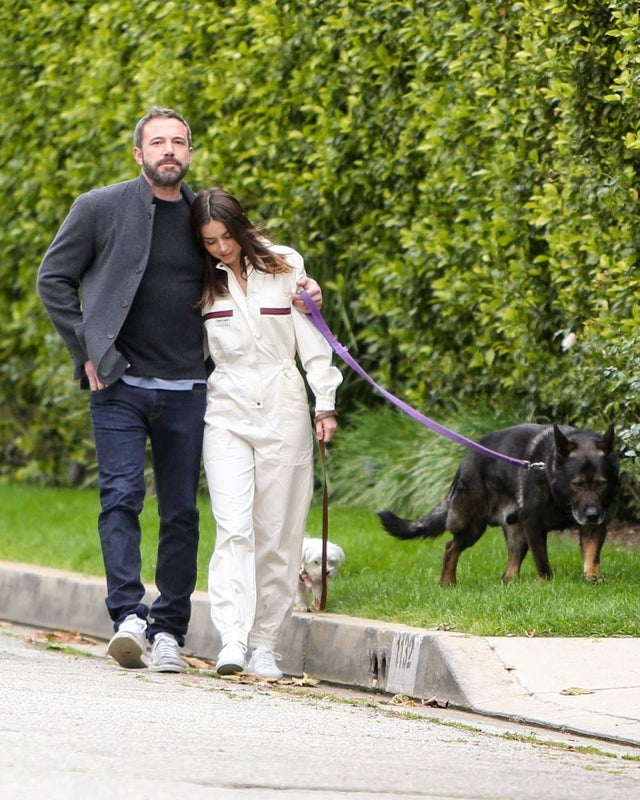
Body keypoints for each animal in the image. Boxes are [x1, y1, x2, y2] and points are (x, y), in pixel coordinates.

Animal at [378, 422, 616, 584]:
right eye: (577, 484)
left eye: (601, 484)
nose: (592, 515)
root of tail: (466, 460)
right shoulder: (534, 525)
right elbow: (542, 561)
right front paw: (548, 583)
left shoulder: (594, 525)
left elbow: (592, 554)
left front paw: (593, 577)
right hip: (473, 525)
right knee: (450, 547)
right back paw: (447, 583)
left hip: (516, 534)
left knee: (510, 565)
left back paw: (510, 583)